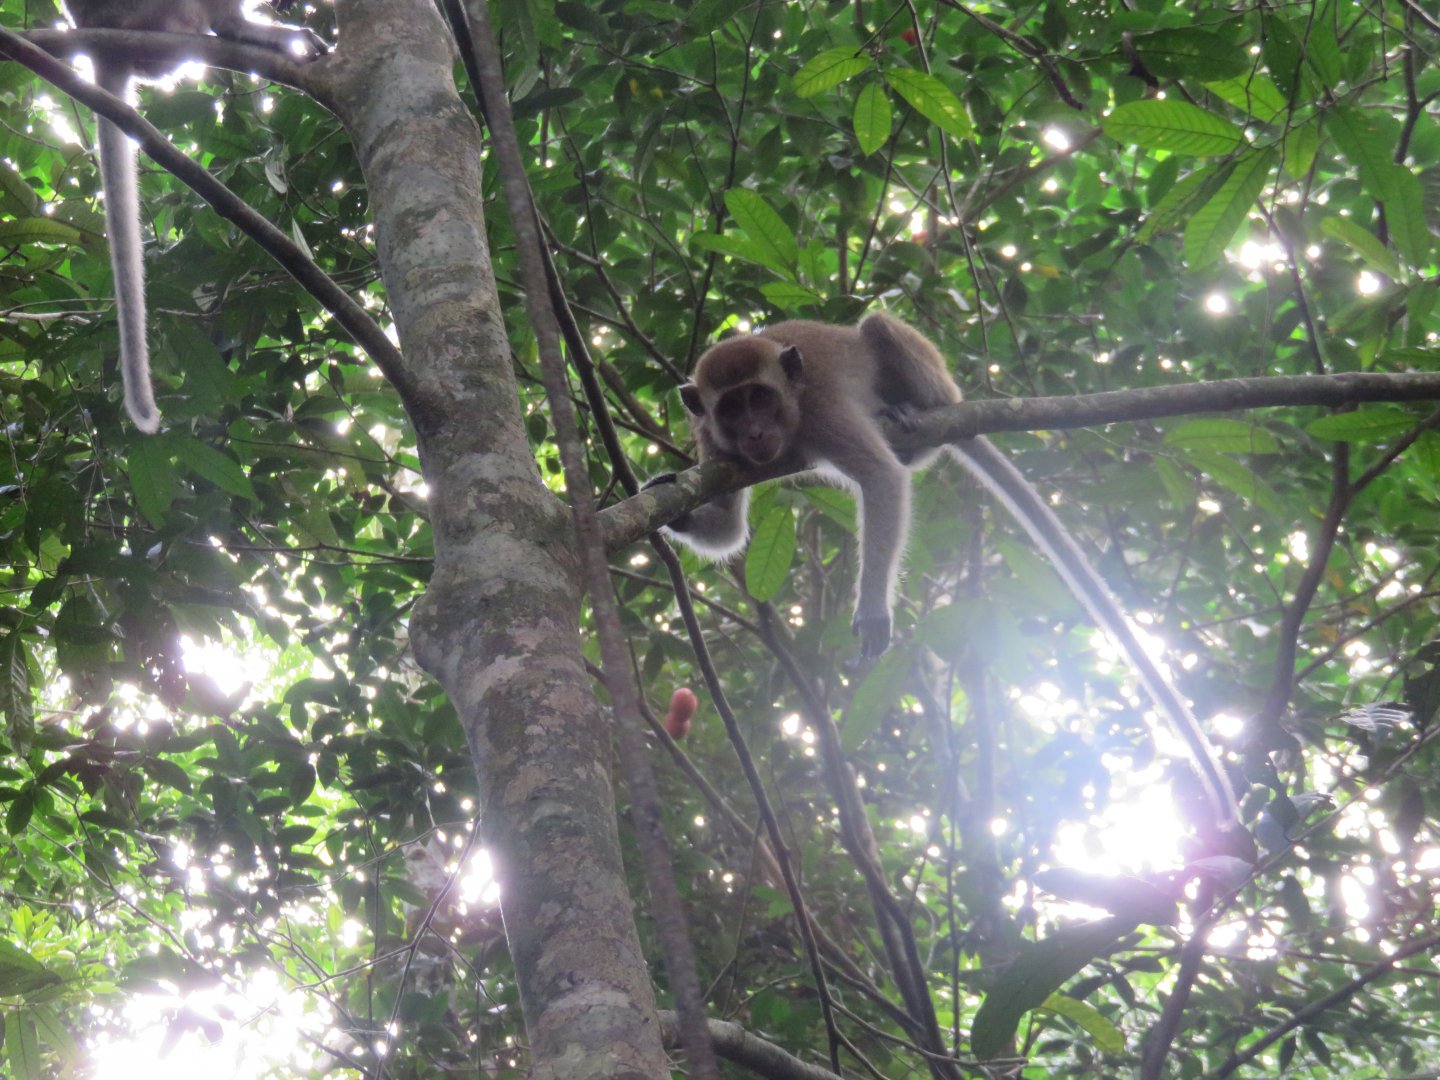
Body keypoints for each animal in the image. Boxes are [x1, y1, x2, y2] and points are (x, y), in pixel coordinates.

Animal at [649, 312, 1241, 829]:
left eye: (760, 398)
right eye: (731, 409)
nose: (753, 433)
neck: (790, 418)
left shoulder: (821, 410)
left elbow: (881, 479)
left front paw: (872, 608)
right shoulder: (712, 446)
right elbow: (727, 530)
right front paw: (667, 502)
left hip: (931, 384)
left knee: (879, 328)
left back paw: (914, 411)